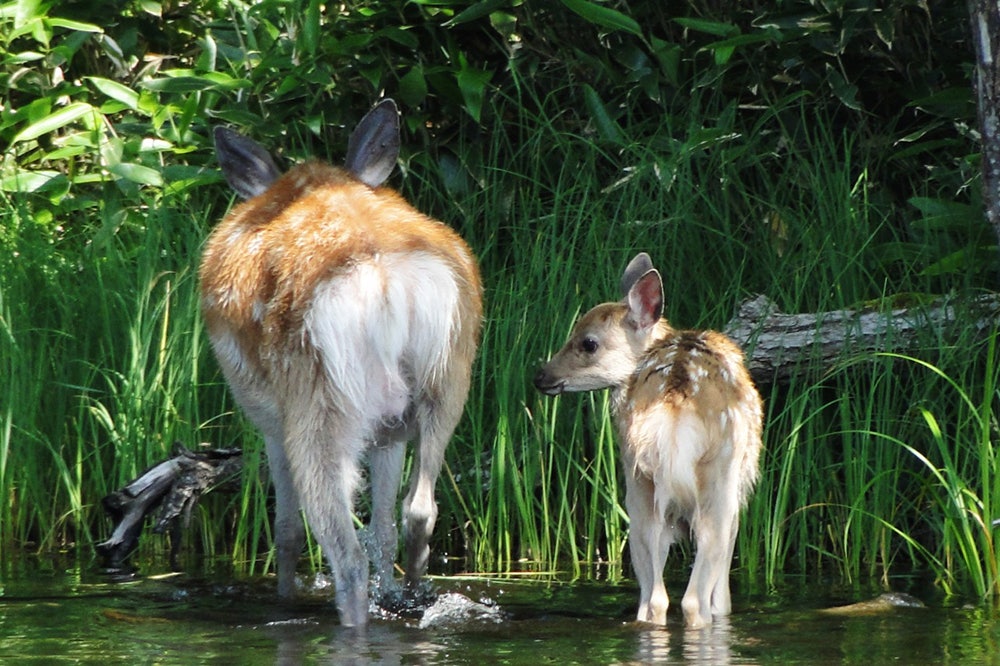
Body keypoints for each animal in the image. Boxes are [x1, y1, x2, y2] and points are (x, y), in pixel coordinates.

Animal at [200, 99, 482, 628]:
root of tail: (387, 282)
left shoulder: (269, 420)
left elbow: (286, 530)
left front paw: (284, 596)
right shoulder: (389, 431)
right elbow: (385, 527)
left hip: (318, 400)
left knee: (344, 550)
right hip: (445, 382)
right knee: (418, 511)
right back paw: (411, 600)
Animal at [533, 252, 763, 629]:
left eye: (588, 342)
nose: (540, 377)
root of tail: (674, 402)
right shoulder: (737, 505)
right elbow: (722, 599)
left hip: (639, 486)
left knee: (653, 599)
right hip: (719, 487)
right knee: (693, 600)